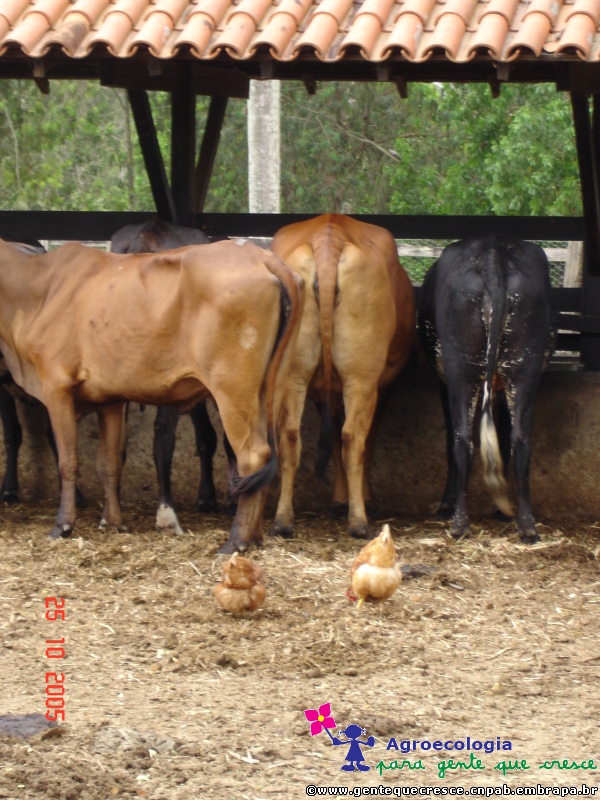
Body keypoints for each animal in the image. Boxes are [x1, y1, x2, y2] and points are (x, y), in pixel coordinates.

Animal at [0, 237, 303, 554]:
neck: (38, 287)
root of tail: (264, 257)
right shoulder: (108, 399)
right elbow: (108, 463)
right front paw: (114, 522)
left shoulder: (57, 386)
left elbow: (67, 460)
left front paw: (63, 525)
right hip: (271, 387)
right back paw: (254, 537)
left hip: (232, 389)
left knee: (253, 457)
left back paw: (236, 541)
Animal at [270, 214, 416, 538]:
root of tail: (330, 232)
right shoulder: (383, 387)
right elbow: (364, 442)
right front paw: (357, 501)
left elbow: (333, 442)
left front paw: (338, 501)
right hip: (361, 378)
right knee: (354, 438)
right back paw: (359, 521)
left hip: (293, 375)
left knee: (290, 435)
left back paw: (283, 520)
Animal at [418, 235, 556, 543]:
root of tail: (494, 254)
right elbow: (503, 439)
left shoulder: (445, 382)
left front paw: (446, 506)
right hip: (524, 367)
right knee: (520, 440)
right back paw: (526, 526)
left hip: (462, 369)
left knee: (461, 439)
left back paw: (459, 522)